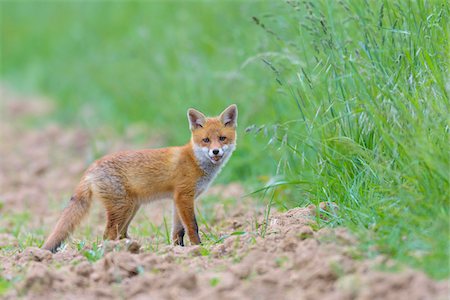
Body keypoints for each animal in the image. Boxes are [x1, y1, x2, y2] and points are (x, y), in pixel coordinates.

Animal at [42, 104, 237, 252]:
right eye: (206, 140)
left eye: (222, 138)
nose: (215, 151)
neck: (195, 161)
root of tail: (92, 166)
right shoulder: (184, 196)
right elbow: (192, 227)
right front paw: (198, 248)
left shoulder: (178, 199)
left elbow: (178, 231)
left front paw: (177, 250)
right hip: (123, 208)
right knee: (108, 235)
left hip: (131, 207)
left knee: (120, 234)